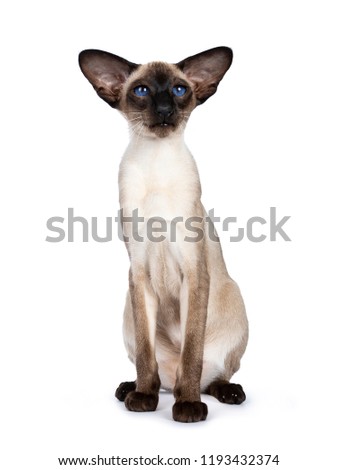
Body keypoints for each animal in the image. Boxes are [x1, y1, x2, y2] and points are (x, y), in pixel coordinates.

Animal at [79, 47, 248, 422]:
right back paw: (135, 389)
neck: (155, 162)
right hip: (128, 313)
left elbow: (192, 354)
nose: (165, 109)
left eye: (179, 90)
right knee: (159, 373)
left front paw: (188, 408)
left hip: (234, 302)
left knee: (207, 376)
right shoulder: (139, 274)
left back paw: (220, 393)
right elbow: (146, 355)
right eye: (142, 91)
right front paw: (143, 397)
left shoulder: (193, 272)